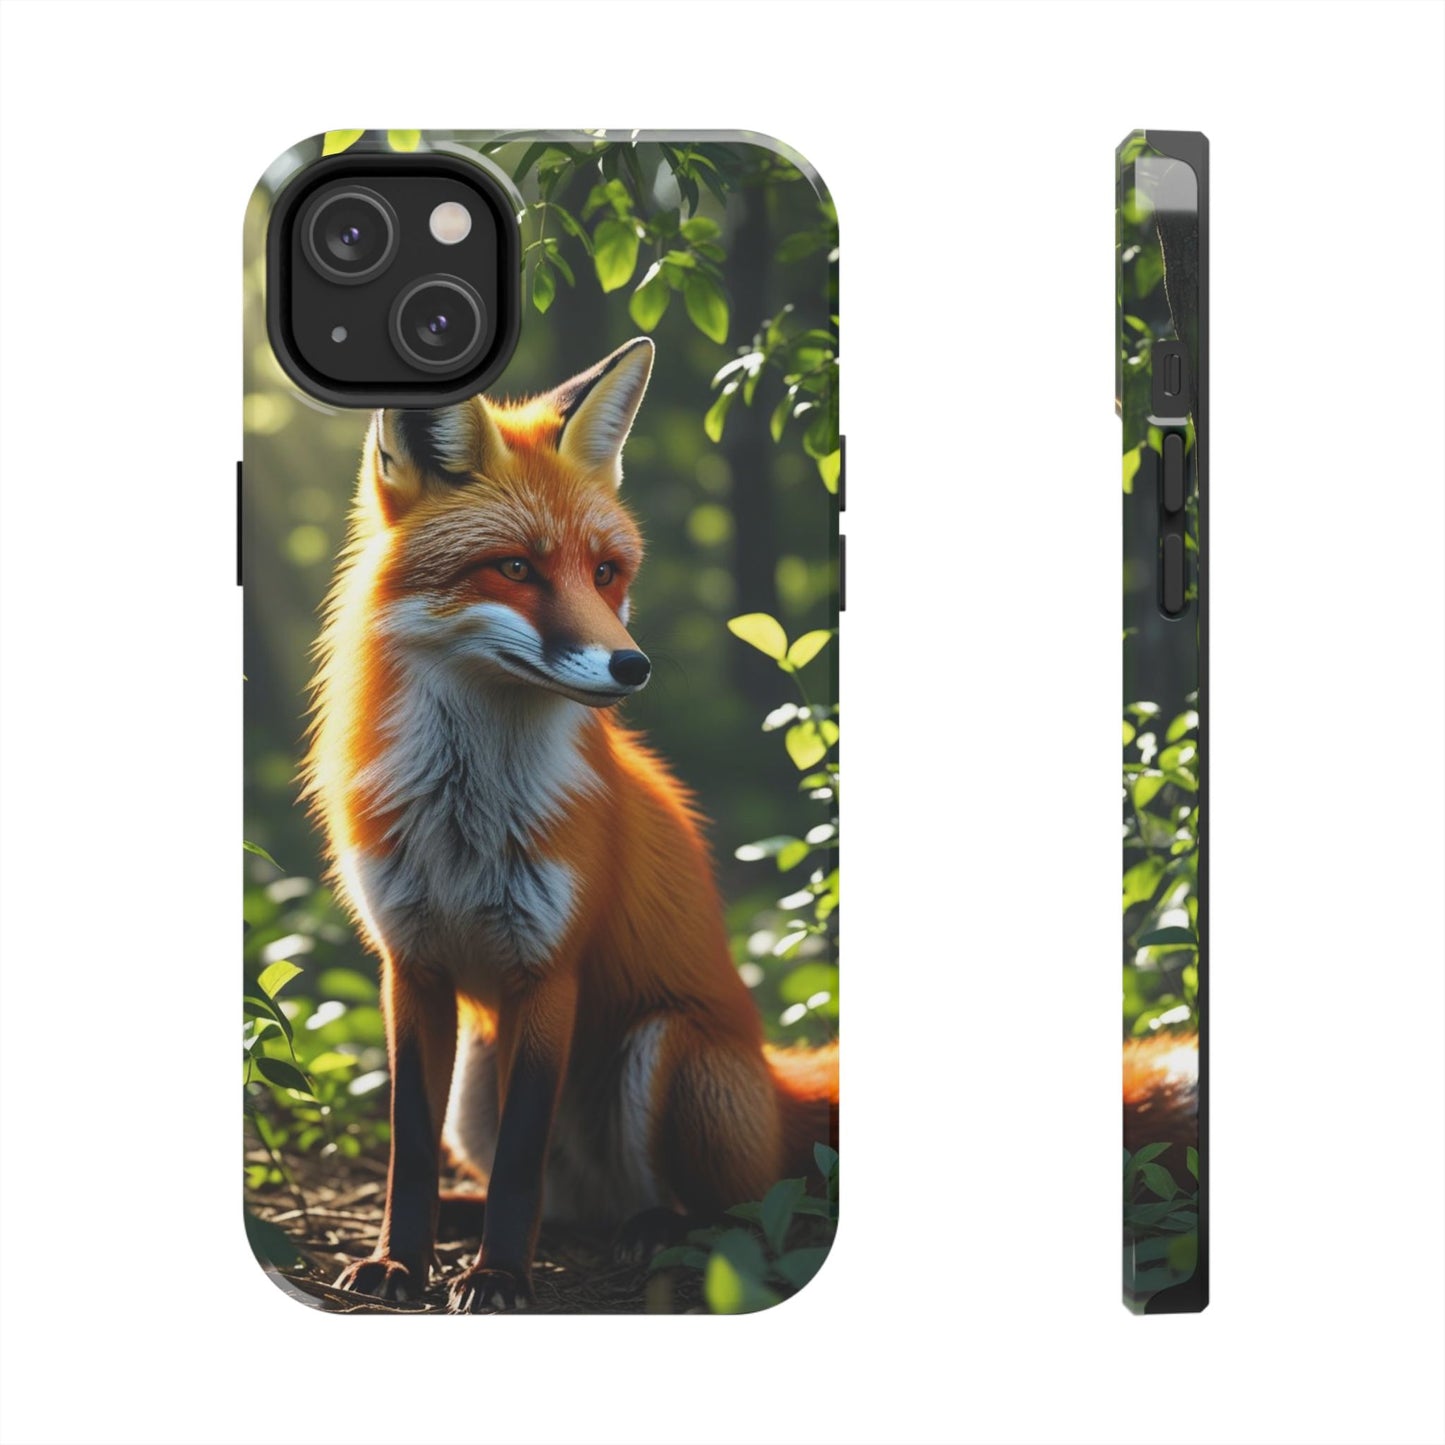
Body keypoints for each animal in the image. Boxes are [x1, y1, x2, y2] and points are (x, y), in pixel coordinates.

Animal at [305, 337, 837, 1311]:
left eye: (604, 573)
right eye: (514, 568)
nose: (632, 666)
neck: (464, 819)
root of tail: (777, 1078)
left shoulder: (548, 970)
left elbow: (521, 1158)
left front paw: (499, 1277)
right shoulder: (412, 965)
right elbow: (409, 1146)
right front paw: (399, 1260)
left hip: (669, 1052)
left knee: (732, 1211)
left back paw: (653, 1229)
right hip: (477, 1077)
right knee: (558, 1204)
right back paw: (478, 1217)